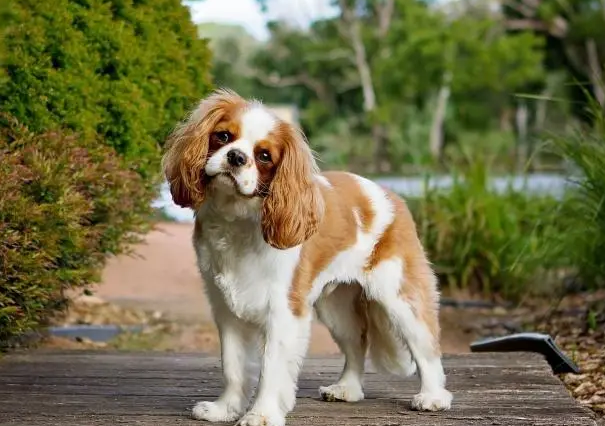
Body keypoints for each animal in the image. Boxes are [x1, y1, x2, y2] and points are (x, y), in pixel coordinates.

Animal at [163, 88, 450, 424]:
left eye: (264, 156)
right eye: (222, 136)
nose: (236, 157)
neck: (237, 218)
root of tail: (391, 194)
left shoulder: (284, 312)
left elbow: (271, 369)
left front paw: (262, 414)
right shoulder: (226, 311)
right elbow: (232, 366)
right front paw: (225, 409)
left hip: (399, 295)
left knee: (426, 346)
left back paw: (433, 396)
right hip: (336, 307)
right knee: (357, 343)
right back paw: (347, 389)